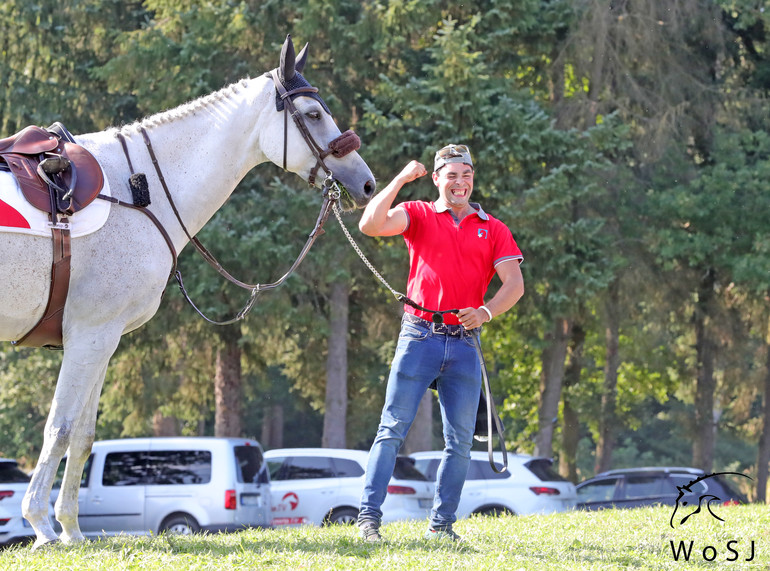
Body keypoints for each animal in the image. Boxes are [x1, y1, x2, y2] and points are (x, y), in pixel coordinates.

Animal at [0, 33, 372, 548]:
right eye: (314, 114)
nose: (366, 182)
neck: (136, 189)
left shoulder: (99, 340)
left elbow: (83, 436)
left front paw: (71, 529)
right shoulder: (89, 335)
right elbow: (60, 427)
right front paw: (41, 524)